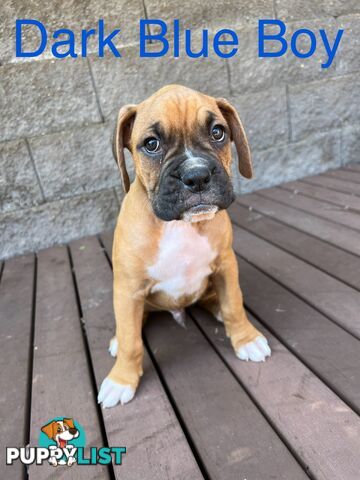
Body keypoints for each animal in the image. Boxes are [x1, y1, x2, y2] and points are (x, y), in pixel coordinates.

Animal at [97, 84, 272, 406]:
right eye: (151, 144)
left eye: (218, 132)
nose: (197, 175)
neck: (179, 225)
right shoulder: (128, 287)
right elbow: (131, 340)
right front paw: (122, 379)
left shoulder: (226, 265)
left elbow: (234, 305)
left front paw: (245, 338)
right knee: (133, 323)